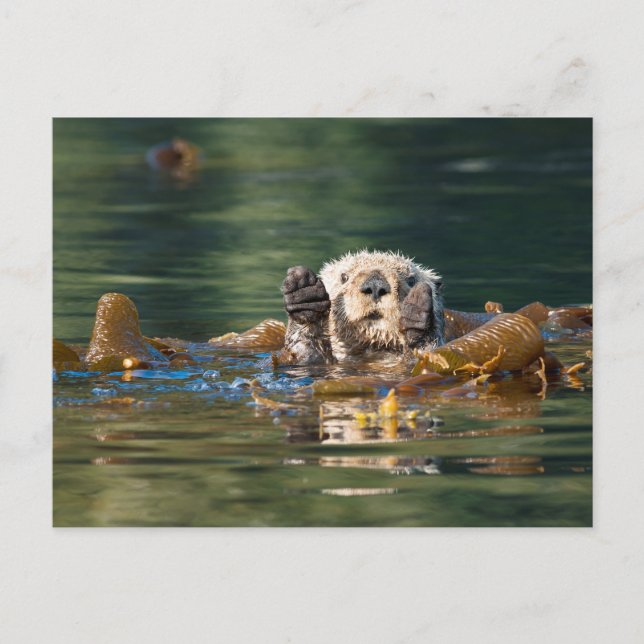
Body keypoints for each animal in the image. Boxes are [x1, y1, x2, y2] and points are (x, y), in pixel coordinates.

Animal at [280, 250, 444, 364]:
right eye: (344, 277)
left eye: (411, 280)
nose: (376, 284)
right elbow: (304, 351)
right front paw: (304, 292)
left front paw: (416, 312)